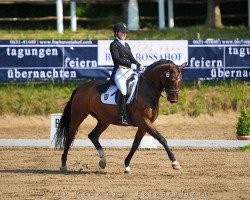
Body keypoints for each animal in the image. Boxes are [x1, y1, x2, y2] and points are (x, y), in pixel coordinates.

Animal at [55, 59, 187, 173]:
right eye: (172, 79)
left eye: (180, 80)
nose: (174, 100)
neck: (147, 90)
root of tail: (80, 87)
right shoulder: (144, 121)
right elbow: (161, 138)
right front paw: (175, 163)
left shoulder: (144, 125)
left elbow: (135, 144)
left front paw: (127, 166)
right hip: (78, 115)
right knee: (70, 136)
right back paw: (64, 165)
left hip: (104, 120)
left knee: (93, 135)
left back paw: (103, 161)